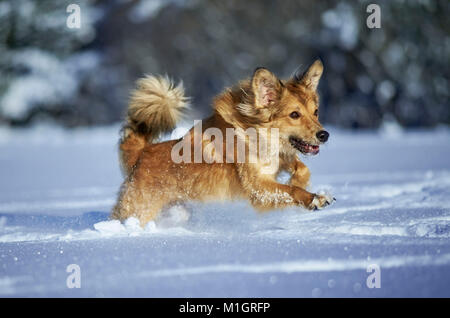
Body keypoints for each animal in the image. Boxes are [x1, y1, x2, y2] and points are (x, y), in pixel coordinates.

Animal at [110, 58, 332, 225]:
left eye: (316, 112)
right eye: (294, 114)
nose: (324, 135)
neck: (256, 132)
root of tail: (142, 153)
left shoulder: (280, 159)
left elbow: (302, 169)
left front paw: (298, 181)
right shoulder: (257, 187)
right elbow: (290, 190)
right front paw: (314, 198)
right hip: (140, 209)